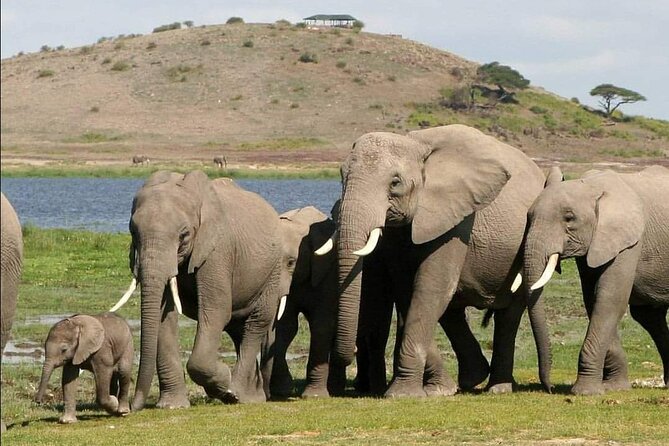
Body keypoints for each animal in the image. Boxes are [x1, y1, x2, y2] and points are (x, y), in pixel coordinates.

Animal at [112, 171, 293, 409]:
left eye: (184, 235)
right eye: (133, 232)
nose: (131, 407)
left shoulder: (218, 251)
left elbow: (216, 311)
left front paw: (223, 383)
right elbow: (163, 317)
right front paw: (172, 406)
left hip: (272, 271)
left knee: (257, 322)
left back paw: (238, 394)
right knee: (238, 328)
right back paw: (253, 395)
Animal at [268, 206, 346, 399]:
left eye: (291, 263)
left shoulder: (327, 273)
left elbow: (321, 325)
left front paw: (314, 396)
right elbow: (286, 326)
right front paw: (282, 391)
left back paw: (335, 389)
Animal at [329, 124, 552, 397]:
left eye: (395, 183)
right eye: (342, 176)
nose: (351, 351)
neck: (416, 145)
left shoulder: (458, 215)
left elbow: (431, 287)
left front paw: (403, 395)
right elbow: (408, 291)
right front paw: (438, 390)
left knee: (507, 315)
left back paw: (496, 389)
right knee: (452, 311)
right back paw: (472, 378)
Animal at [524, 165, 669, 395]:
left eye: (569, 218)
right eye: (528, 217)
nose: (549, 387)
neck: (592, 186)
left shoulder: (628, 241)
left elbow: (610, 299)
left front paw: (585, 393)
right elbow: (594, 300)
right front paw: (615, 387)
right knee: (649, 316)